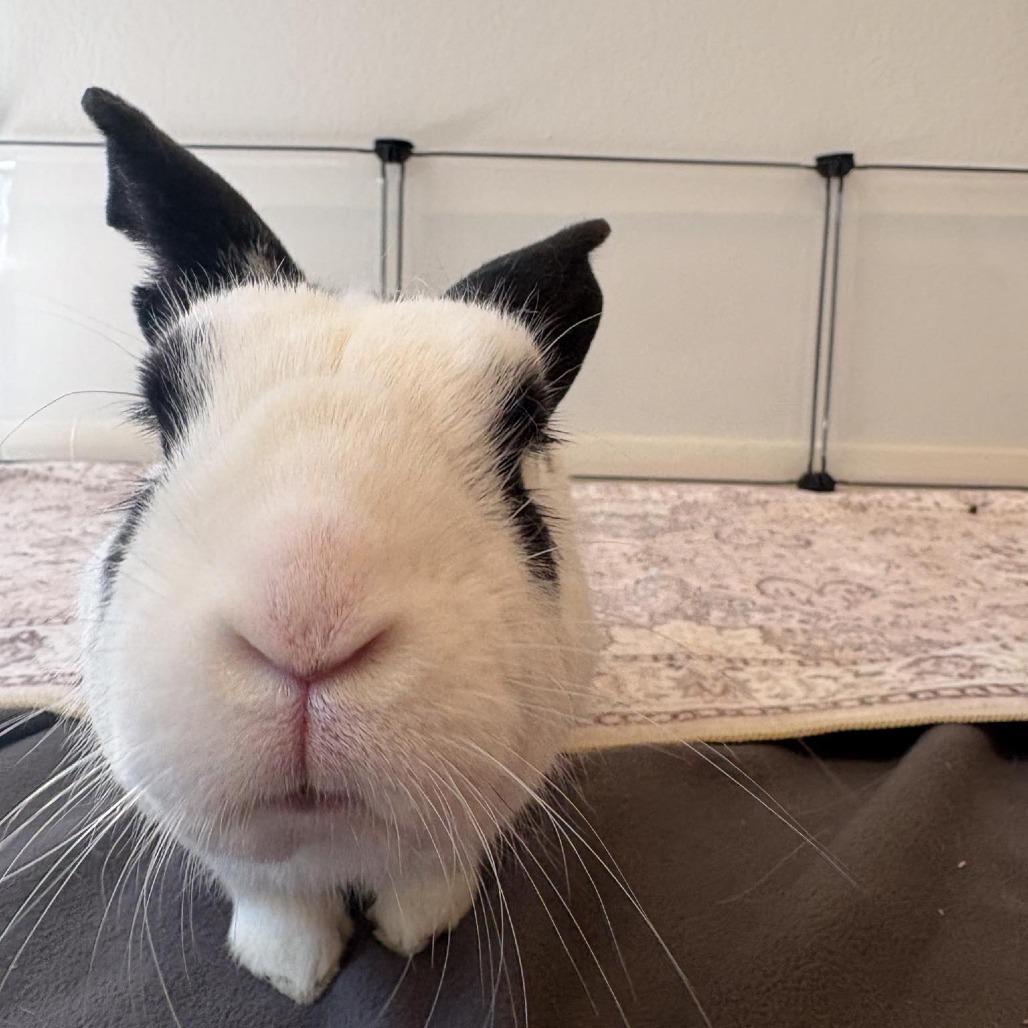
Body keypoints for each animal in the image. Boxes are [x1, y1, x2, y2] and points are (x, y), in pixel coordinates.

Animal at [76, 87, 608, 1004]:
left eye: (518, 442)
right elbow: (271, 895)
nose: (306, 624)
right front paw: (292, 972)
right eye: (160, 417)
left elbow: (431, 873)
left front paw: (415, 932)